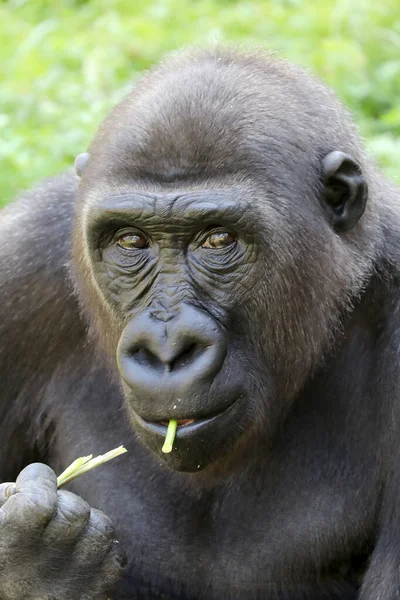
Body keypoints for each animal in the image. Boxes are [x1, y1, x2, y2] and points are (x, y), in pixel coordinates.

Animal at [0, 47, 400, 600]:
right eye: (131, 241)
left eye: (218, 239)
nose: (167, 349)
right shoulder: (20, 262)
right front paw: (32, 560)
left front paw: (39, 562)